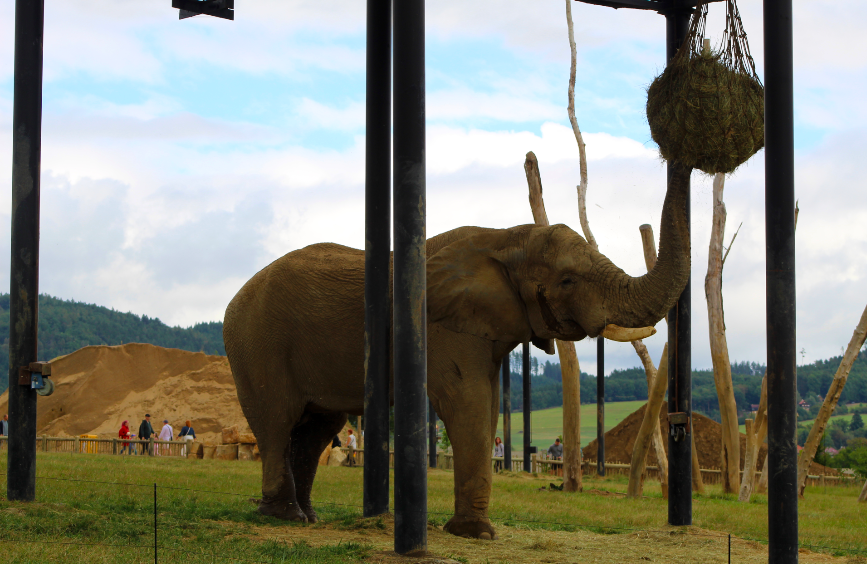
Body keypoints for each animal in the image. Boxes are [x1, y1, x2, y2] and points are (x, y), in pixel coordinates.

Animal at [222, 163, 691, 539]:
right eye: (568, 281)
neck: (507, 237)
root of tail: (234, 298)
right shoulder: (441, 323)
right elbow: (467, 401)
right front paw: (477, 534)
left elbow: (486, 406)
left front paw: (472, 530)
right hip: (257, 343)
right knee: (277, 420)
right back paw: (284, 517)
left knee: (316, 427)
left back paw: (307, 517)